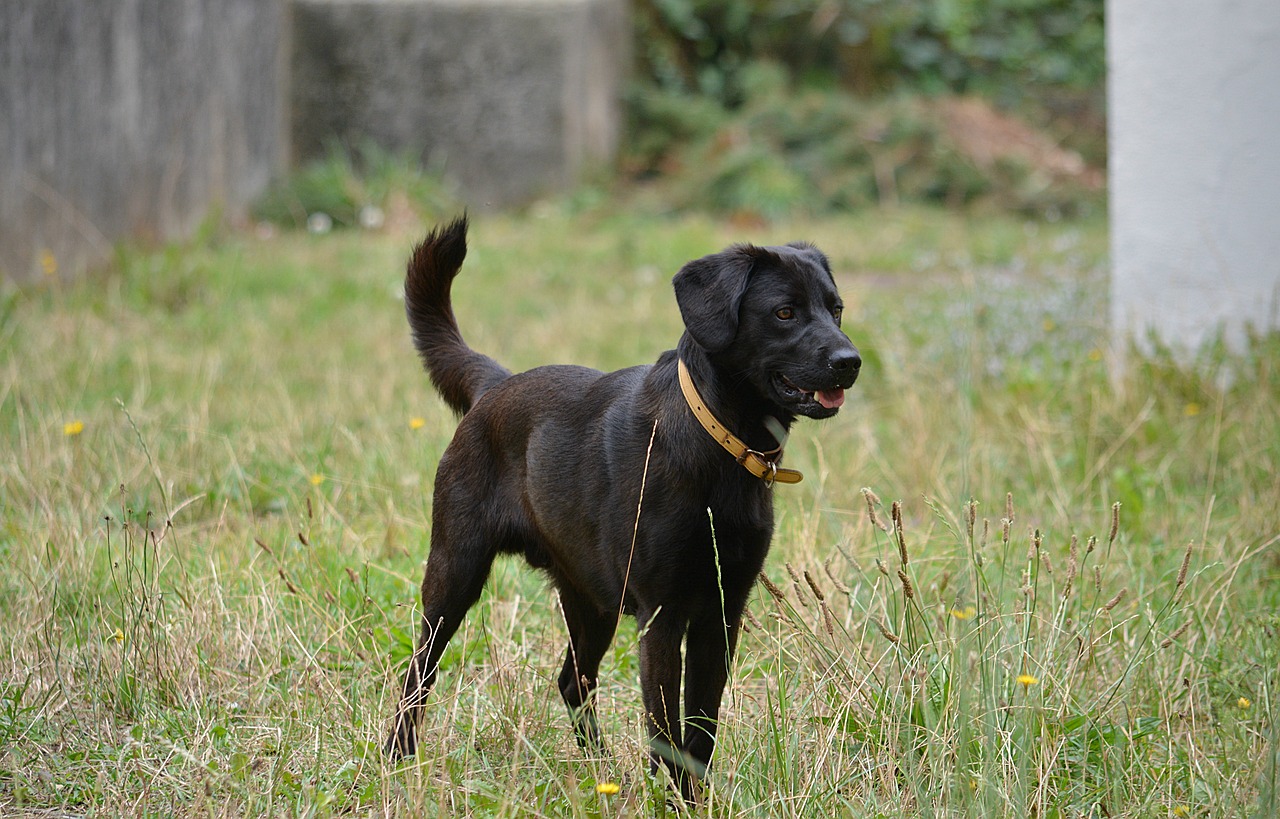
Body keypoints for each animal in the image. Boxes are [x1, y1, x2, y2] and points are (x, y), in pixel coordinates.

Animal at [381, 217, 860, 798]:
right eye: (785, 312)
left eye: (836, 309)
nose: (850, 362)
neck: (716, 438)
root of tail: (496, 386)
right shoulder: (662, 616)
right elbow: (665, 727)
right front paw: (672, 798)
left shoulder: (721, 613)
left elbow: (701, 728)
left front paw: (694, 798)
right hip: (455, 573)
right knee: (418, 672)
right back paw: (397, 757)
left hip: (591, 601)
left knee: (572, 681)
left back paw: (600, 771)